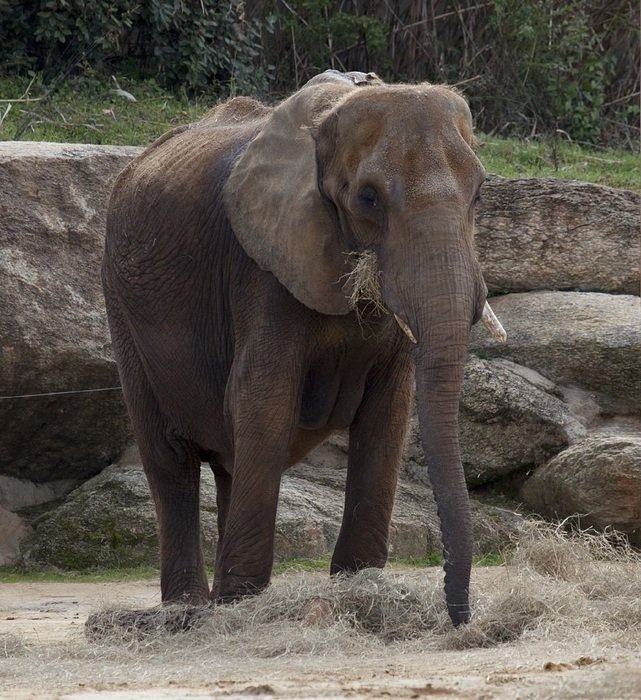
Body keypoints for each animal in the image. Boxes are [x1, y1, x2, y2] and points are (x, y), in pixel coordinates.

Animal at [102, 70, 504, 627]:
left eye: (480, 192)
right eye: (368, 198)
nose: (462, 619)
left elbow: (388, 415)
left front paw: (359, 587)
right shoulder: (261, 265)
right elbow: (264, 399)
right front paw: (240, 605)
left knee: (229, 460)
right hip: (120, 303)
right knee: (169, 458)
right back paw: (192, 610)